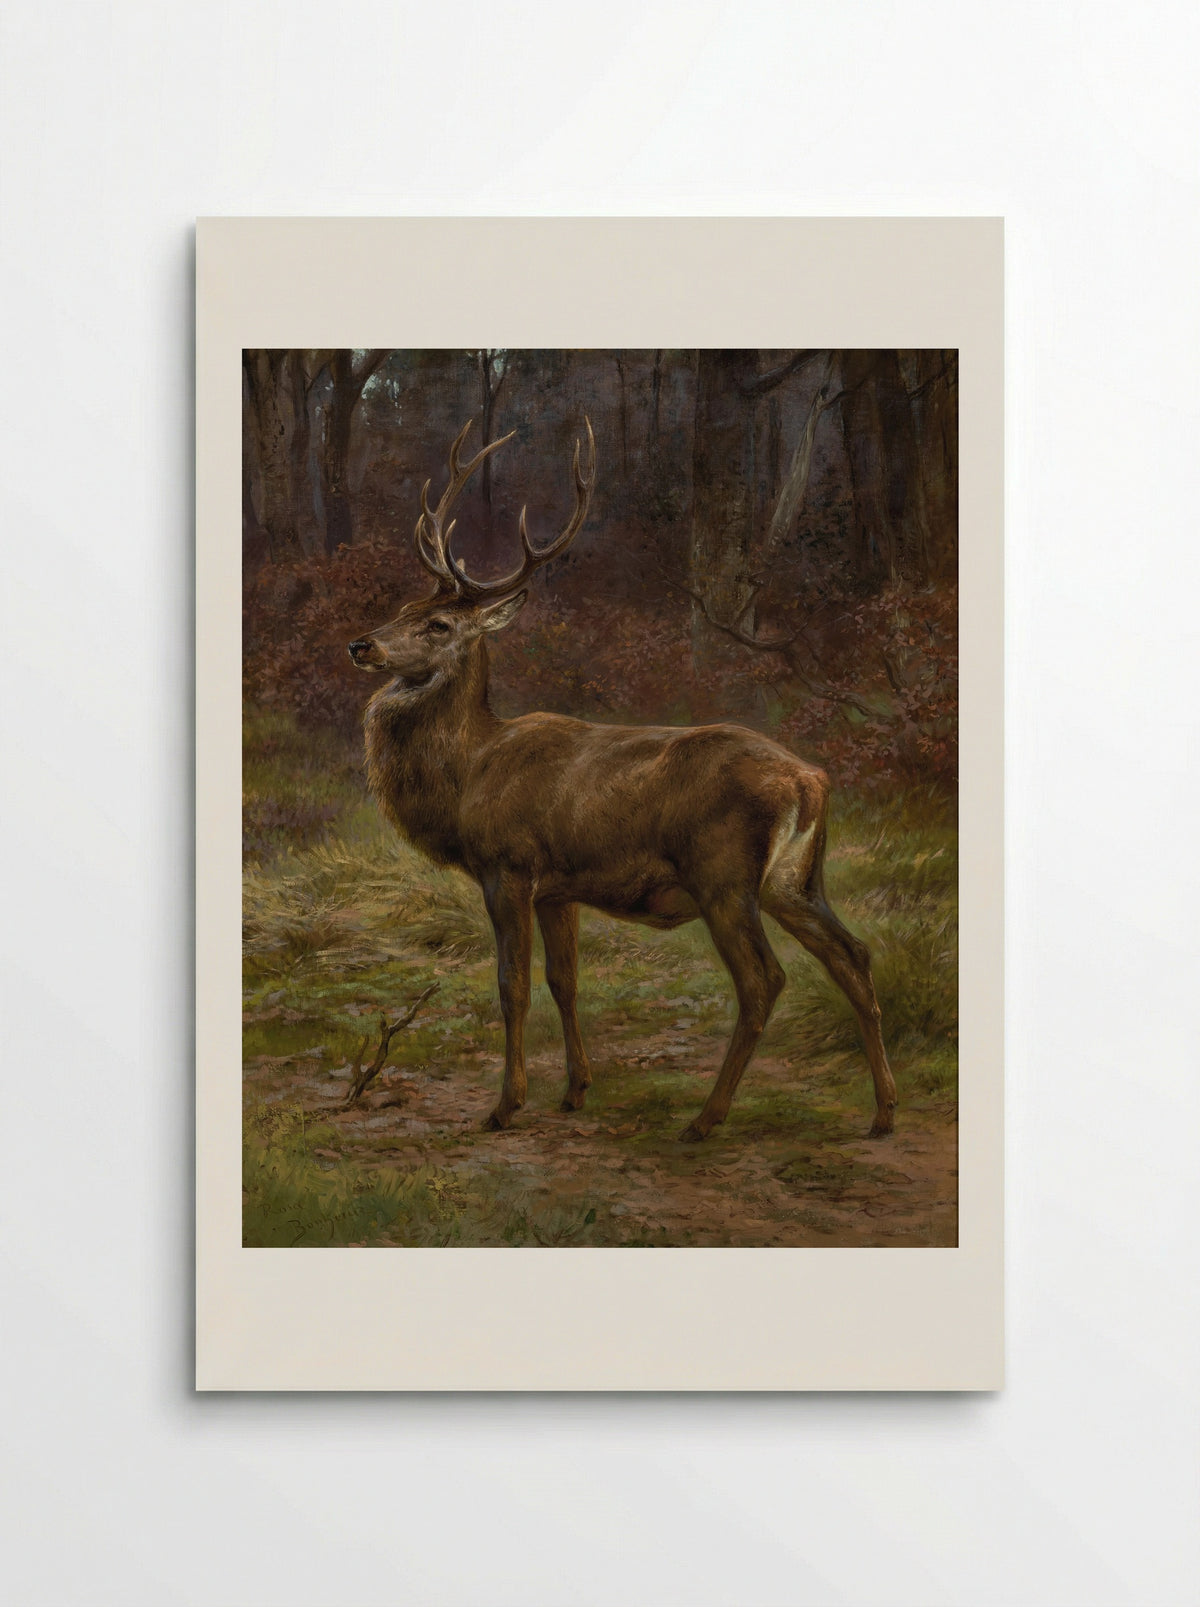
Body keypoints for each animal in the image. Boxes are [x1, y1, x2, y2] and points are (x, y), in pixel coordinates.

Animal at [347, 420, 896, 1143]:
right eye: (403, 606)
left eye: (437, 624)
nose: (362, 644)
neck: (471, 772)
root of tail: (810, 780)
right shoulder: (557, 888)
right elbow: (565, 981)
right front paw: (575, 1090)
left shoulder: (508, 865)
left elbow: (512, 985)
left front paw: (504, 1105)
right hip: (796, 879)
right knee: (853, 956)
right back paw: (884, 1113)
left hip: (724, 873)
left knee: (764, 980)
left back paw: (705, 1118)